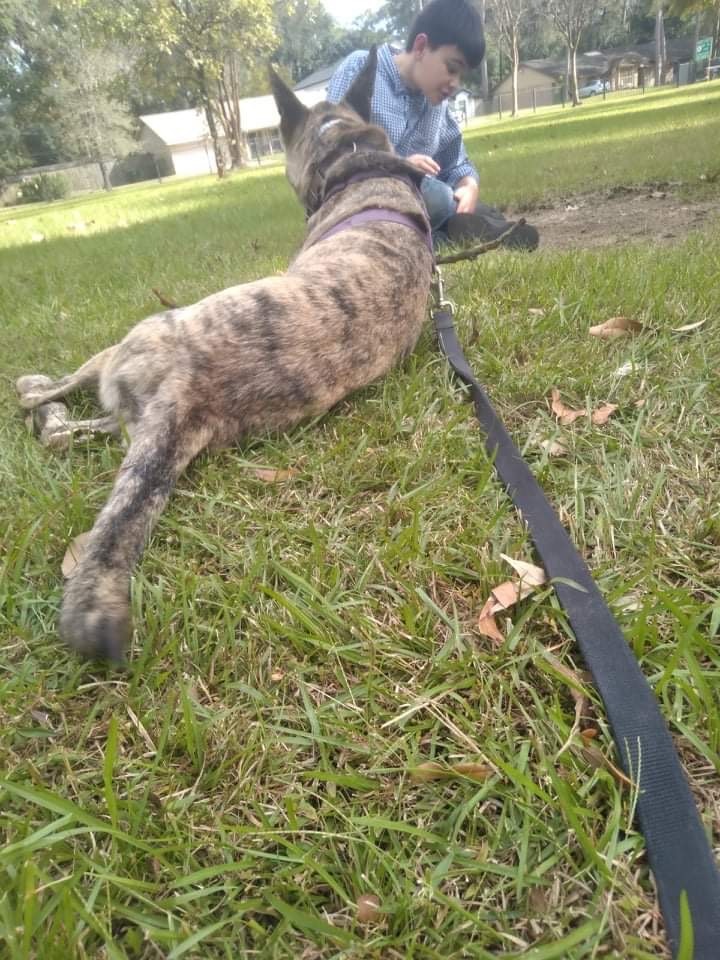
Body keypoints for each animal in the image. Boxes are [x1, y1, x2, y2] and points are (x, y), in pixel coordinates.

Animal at [15, 50, 434, 660]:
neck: (358, 161)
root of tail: (187, 394)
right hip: (133, 413)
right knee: (67, 433)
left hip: (128, 342)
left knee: (52, 404)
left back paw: (33, 392)